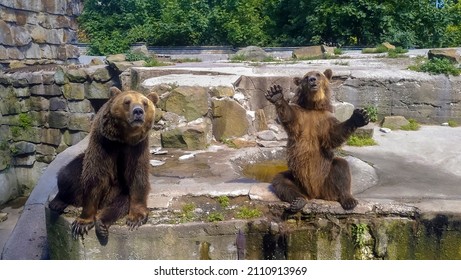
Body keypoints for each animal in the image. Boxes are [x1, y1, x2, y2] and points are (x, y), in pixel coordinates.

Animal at [49, 86, 159, 241]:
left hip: (117, 191)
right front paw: (83, 222)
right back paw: (58, 202)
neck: (123, 138)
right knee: (67, 175)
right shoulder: (104, 144)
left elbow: (137, 177)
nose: (138, 111)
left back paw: (102, 223)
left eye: (145, 103)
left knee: (121, 202)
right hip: (80, 165)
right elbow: (94, 176)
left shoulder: (136, 149)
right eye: (127, 102)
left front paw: (136, 218)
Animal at [264, 69, 368, 212]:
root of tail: (315, 193)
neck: (313, 107)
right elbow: (288, 116)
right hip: (297, 179)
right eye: (306, 77)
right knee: (281, 181)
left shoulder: (325, 119)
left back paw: (348, 200)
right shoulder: (300, 116)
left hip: (326, 179)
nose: (312, 79)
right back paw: (298, 201)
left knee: (341, 166)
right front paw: (276, 94)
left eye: (318, 74)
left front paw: (359, 116)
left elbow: (333, 134)